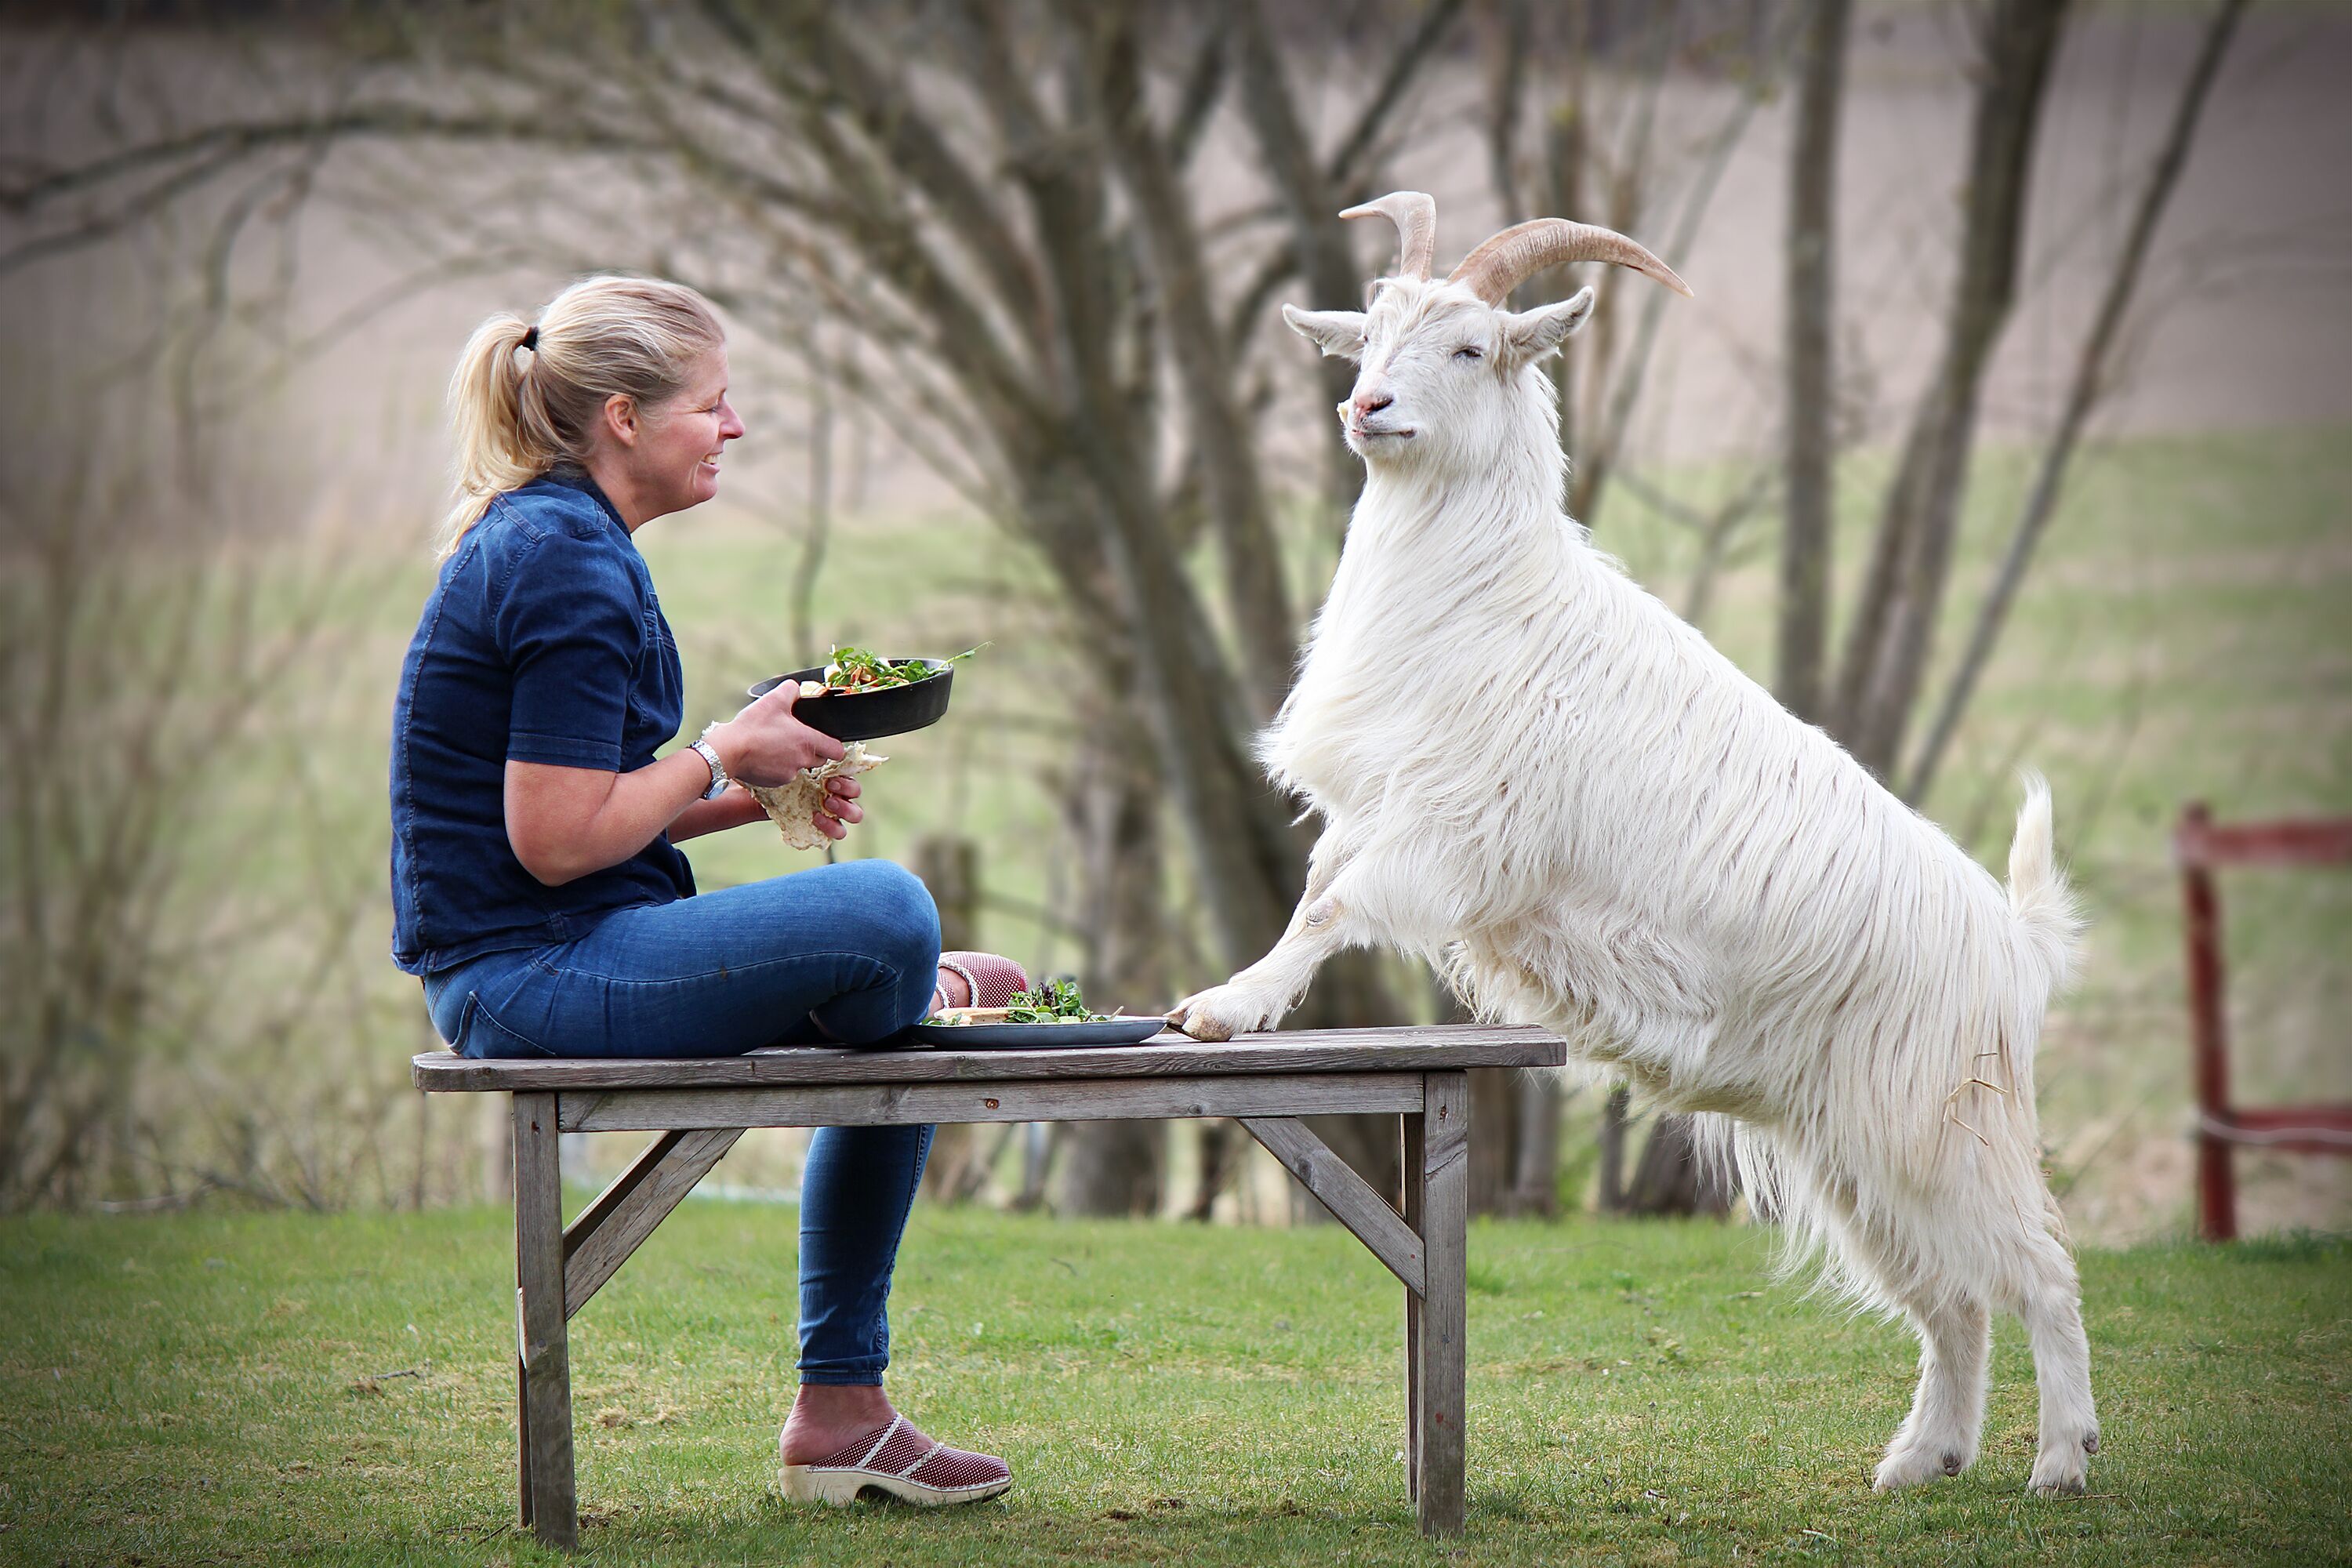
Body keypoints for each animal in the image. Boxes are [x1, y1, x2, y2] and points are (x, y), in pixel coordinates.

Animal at [1167, 192, 2098, 1496]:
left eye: (1472, 347)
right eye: (1370, 336)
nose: (1367, 409)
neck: (1489, 597)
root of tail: (2017, 946)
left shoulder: (1452, 828)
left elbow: (1330, 909)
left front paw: (1225, 1009)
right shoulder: (1387, 811)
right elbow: (1321, 886)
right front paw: (1235, 999)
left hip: (1938, 1121)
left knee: (2040, 1271)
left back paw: (2061, 1460)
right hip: (1851, 1144)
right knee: (1952, 1299)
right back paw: (1925, 1459)